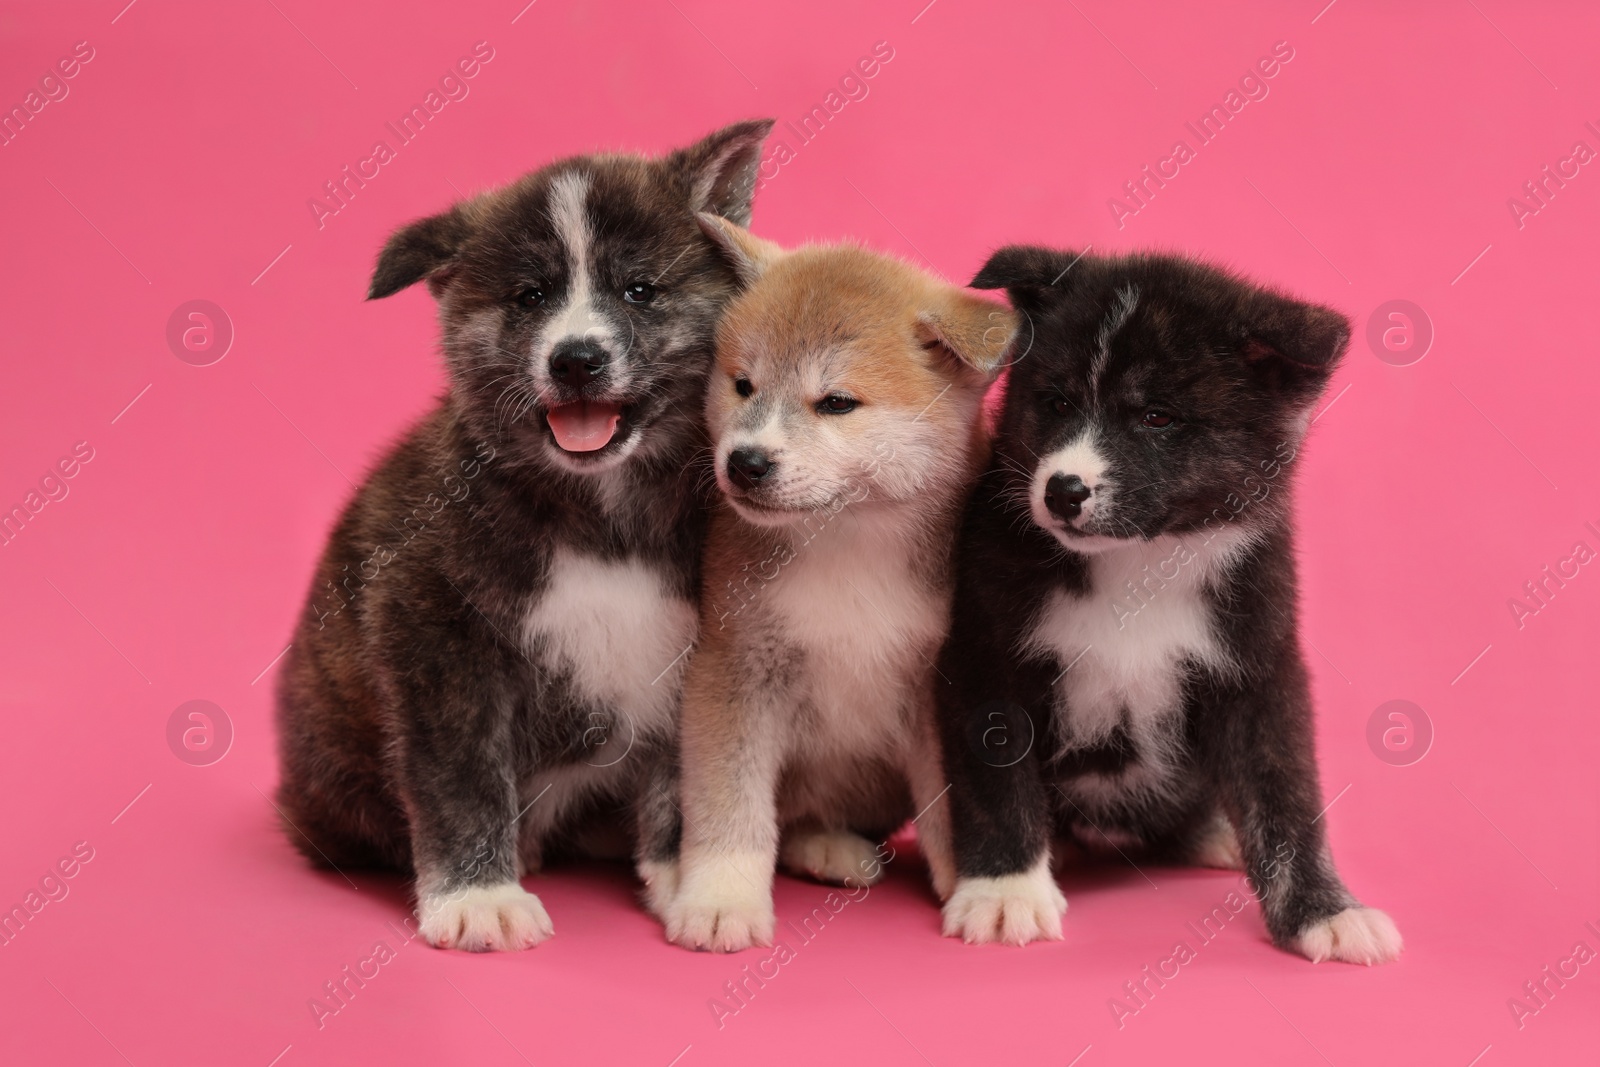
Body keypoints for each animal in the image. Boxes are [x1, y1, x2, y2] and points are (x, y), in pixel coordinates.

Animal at [275, 120, 774, 953]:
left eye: (639, 290)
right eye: (529, 296)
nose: (576, 359)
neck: (604, 516)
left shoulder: (698, 645)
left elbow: (686, 776)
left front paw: (693, 881)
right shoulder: (433, 633)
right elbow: (462, 774)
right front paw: (478, 895)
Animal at [659, 223, 1011, 953]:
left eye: (837, 402)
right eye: (743, 385)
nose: (745, 462)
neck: (846, 540)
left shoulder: (935, 685)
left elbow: (948, 805)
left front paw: (977, 881)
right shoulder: (733, 666)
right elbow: (730, 804)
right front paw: (720, 898)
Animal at [934, 251, 1401, 966]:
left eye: (1157, 418)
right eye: (1056, 402)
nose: (1063, 490)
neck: (1140, 563)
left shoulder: (1259, 667)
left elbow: (1286, 794)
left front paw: (1325, 911)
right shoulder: (984, 658)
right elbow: (998, 786)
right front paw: (1005, 891)